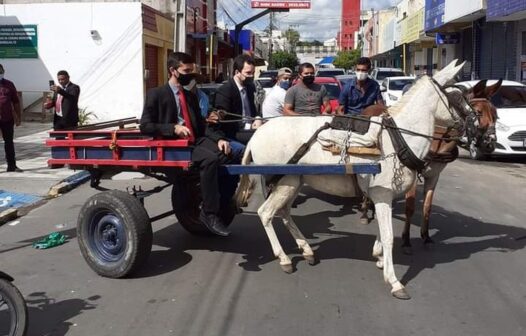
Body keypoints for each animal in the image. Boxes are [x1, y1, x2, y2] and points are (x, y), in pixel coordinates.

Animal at [237, 60, 468, 300]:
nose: (471, 125)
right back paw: (284, 258)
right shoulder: (382, 194)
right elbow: (388, 235)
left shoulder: (381, 197)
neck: (398, 139)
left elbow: (382, 231)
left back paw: (307, 250)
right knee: (266, 213)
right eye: (456, 96)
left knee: (283, 212)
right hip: (285, 182)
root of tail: (256, 135)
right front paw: (394, 280)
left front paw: (379, 257)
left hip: (292, 181)